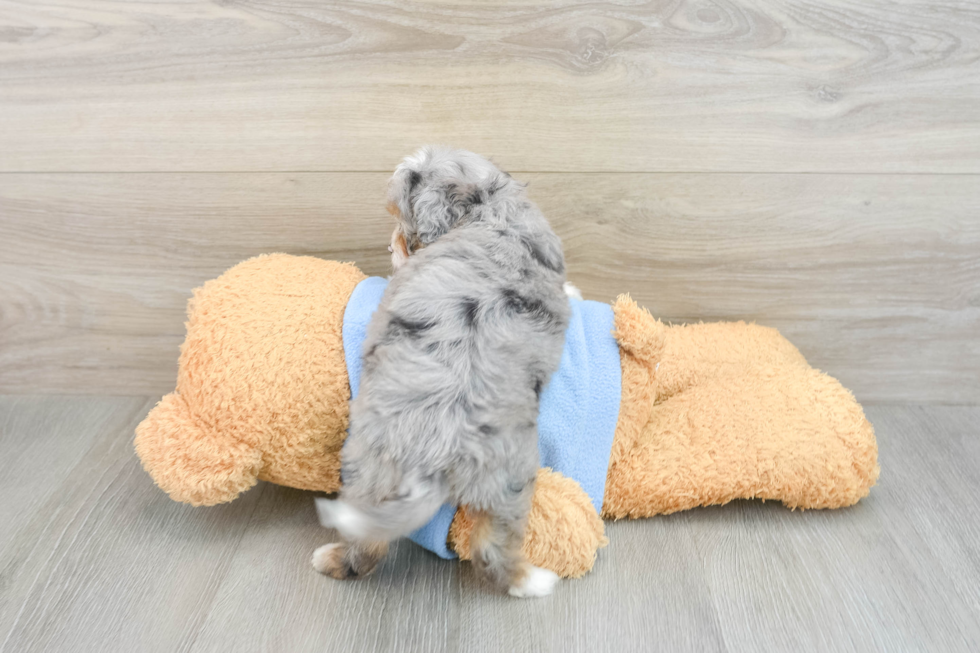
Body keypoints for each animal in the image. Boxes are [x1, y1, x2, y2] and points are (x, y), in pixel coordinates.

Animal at [314, 148, 572, 596]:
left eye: (401, 216)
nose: (390, 245)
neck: (490, 202)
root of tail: (440, 442)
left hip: (370, 463)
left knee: (374, 545)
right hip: (508, 476)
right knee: (489, 547)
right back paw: (535, 582)